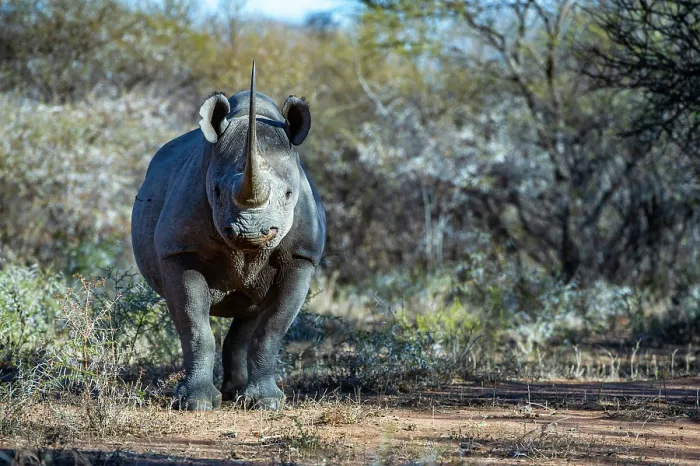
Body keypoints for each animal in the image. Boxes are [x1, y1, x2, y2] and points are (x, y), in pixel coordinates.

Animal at [131, 63, 326, 410]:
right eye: (218, 192)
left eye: (290, 194)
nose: (250, 232)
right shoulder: (180, 251)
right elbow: (195, 327)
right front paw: (194, 403)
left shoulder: (302, 256)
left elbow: (272, 329)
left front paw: (268, 403)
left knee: (250, 314)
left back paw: (239, 394)